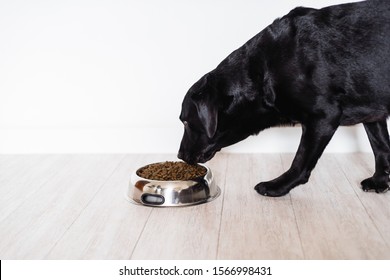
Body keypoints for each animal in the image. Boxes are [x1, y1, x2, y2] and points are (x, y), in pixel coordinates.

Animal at [178, 0, 388, 197]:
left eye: (186, 122)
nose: (179, 155)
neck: (265, 69)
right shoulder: (372, 110)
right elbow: (380, 146)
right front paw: (380, 181)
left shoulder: (323, 117)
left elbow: (300, 161)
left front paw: (277, 186)